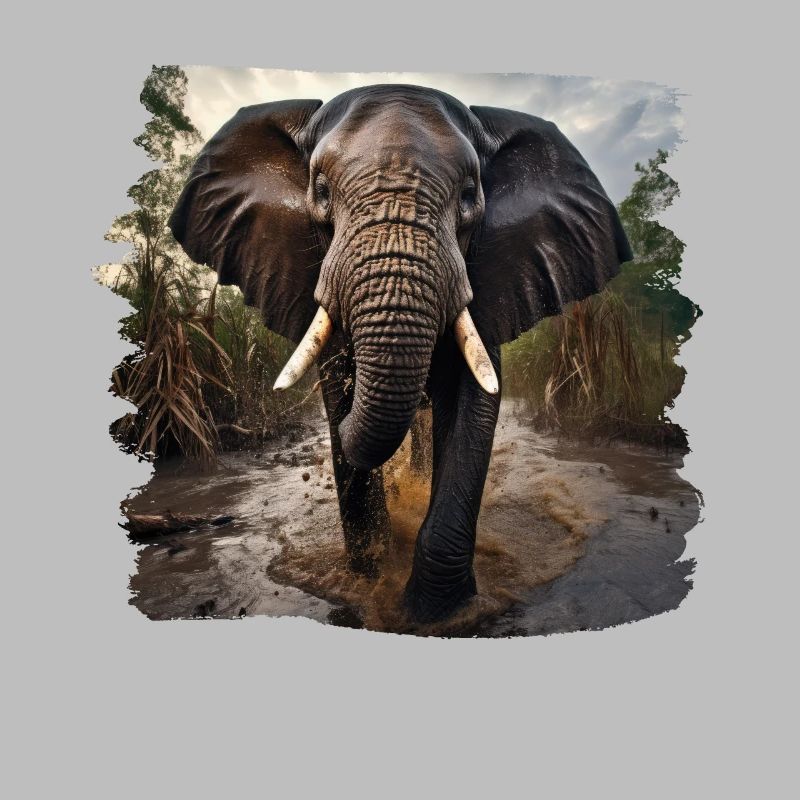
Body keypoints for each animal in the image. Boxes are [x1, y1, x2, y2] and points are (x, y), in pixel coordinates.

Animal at [169, 84, 632, 623]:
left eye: (470, 195)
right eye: (320, 191)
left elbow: (473, 402)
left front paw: (433, 610)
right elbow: (338, 394)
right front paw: (371, 578)